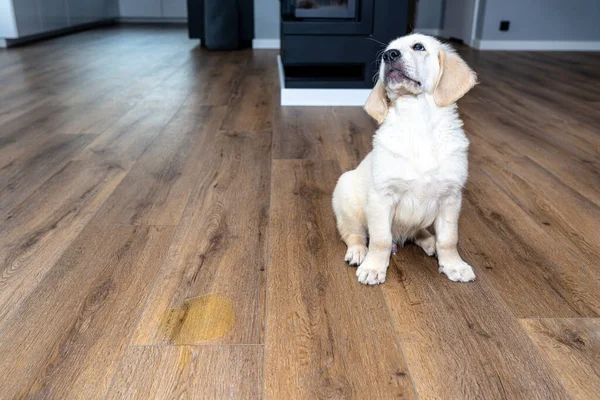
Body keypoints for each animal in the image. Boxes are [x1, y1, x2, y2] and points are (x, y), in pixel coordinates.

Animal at [332, 33, 478, 284]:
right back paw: (358, 252)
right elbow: (380, 239)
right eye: (387, 51)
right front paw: (373, 267)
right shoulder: (382, 197)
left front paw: (454, 265)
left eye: (418, 47)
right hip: (346, 199)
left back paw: (429, 242)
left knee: (418, 232)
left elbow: (449, 239)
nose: (389, 55)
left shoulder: (451, 198)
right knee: (354, 234)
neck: (417, 121)